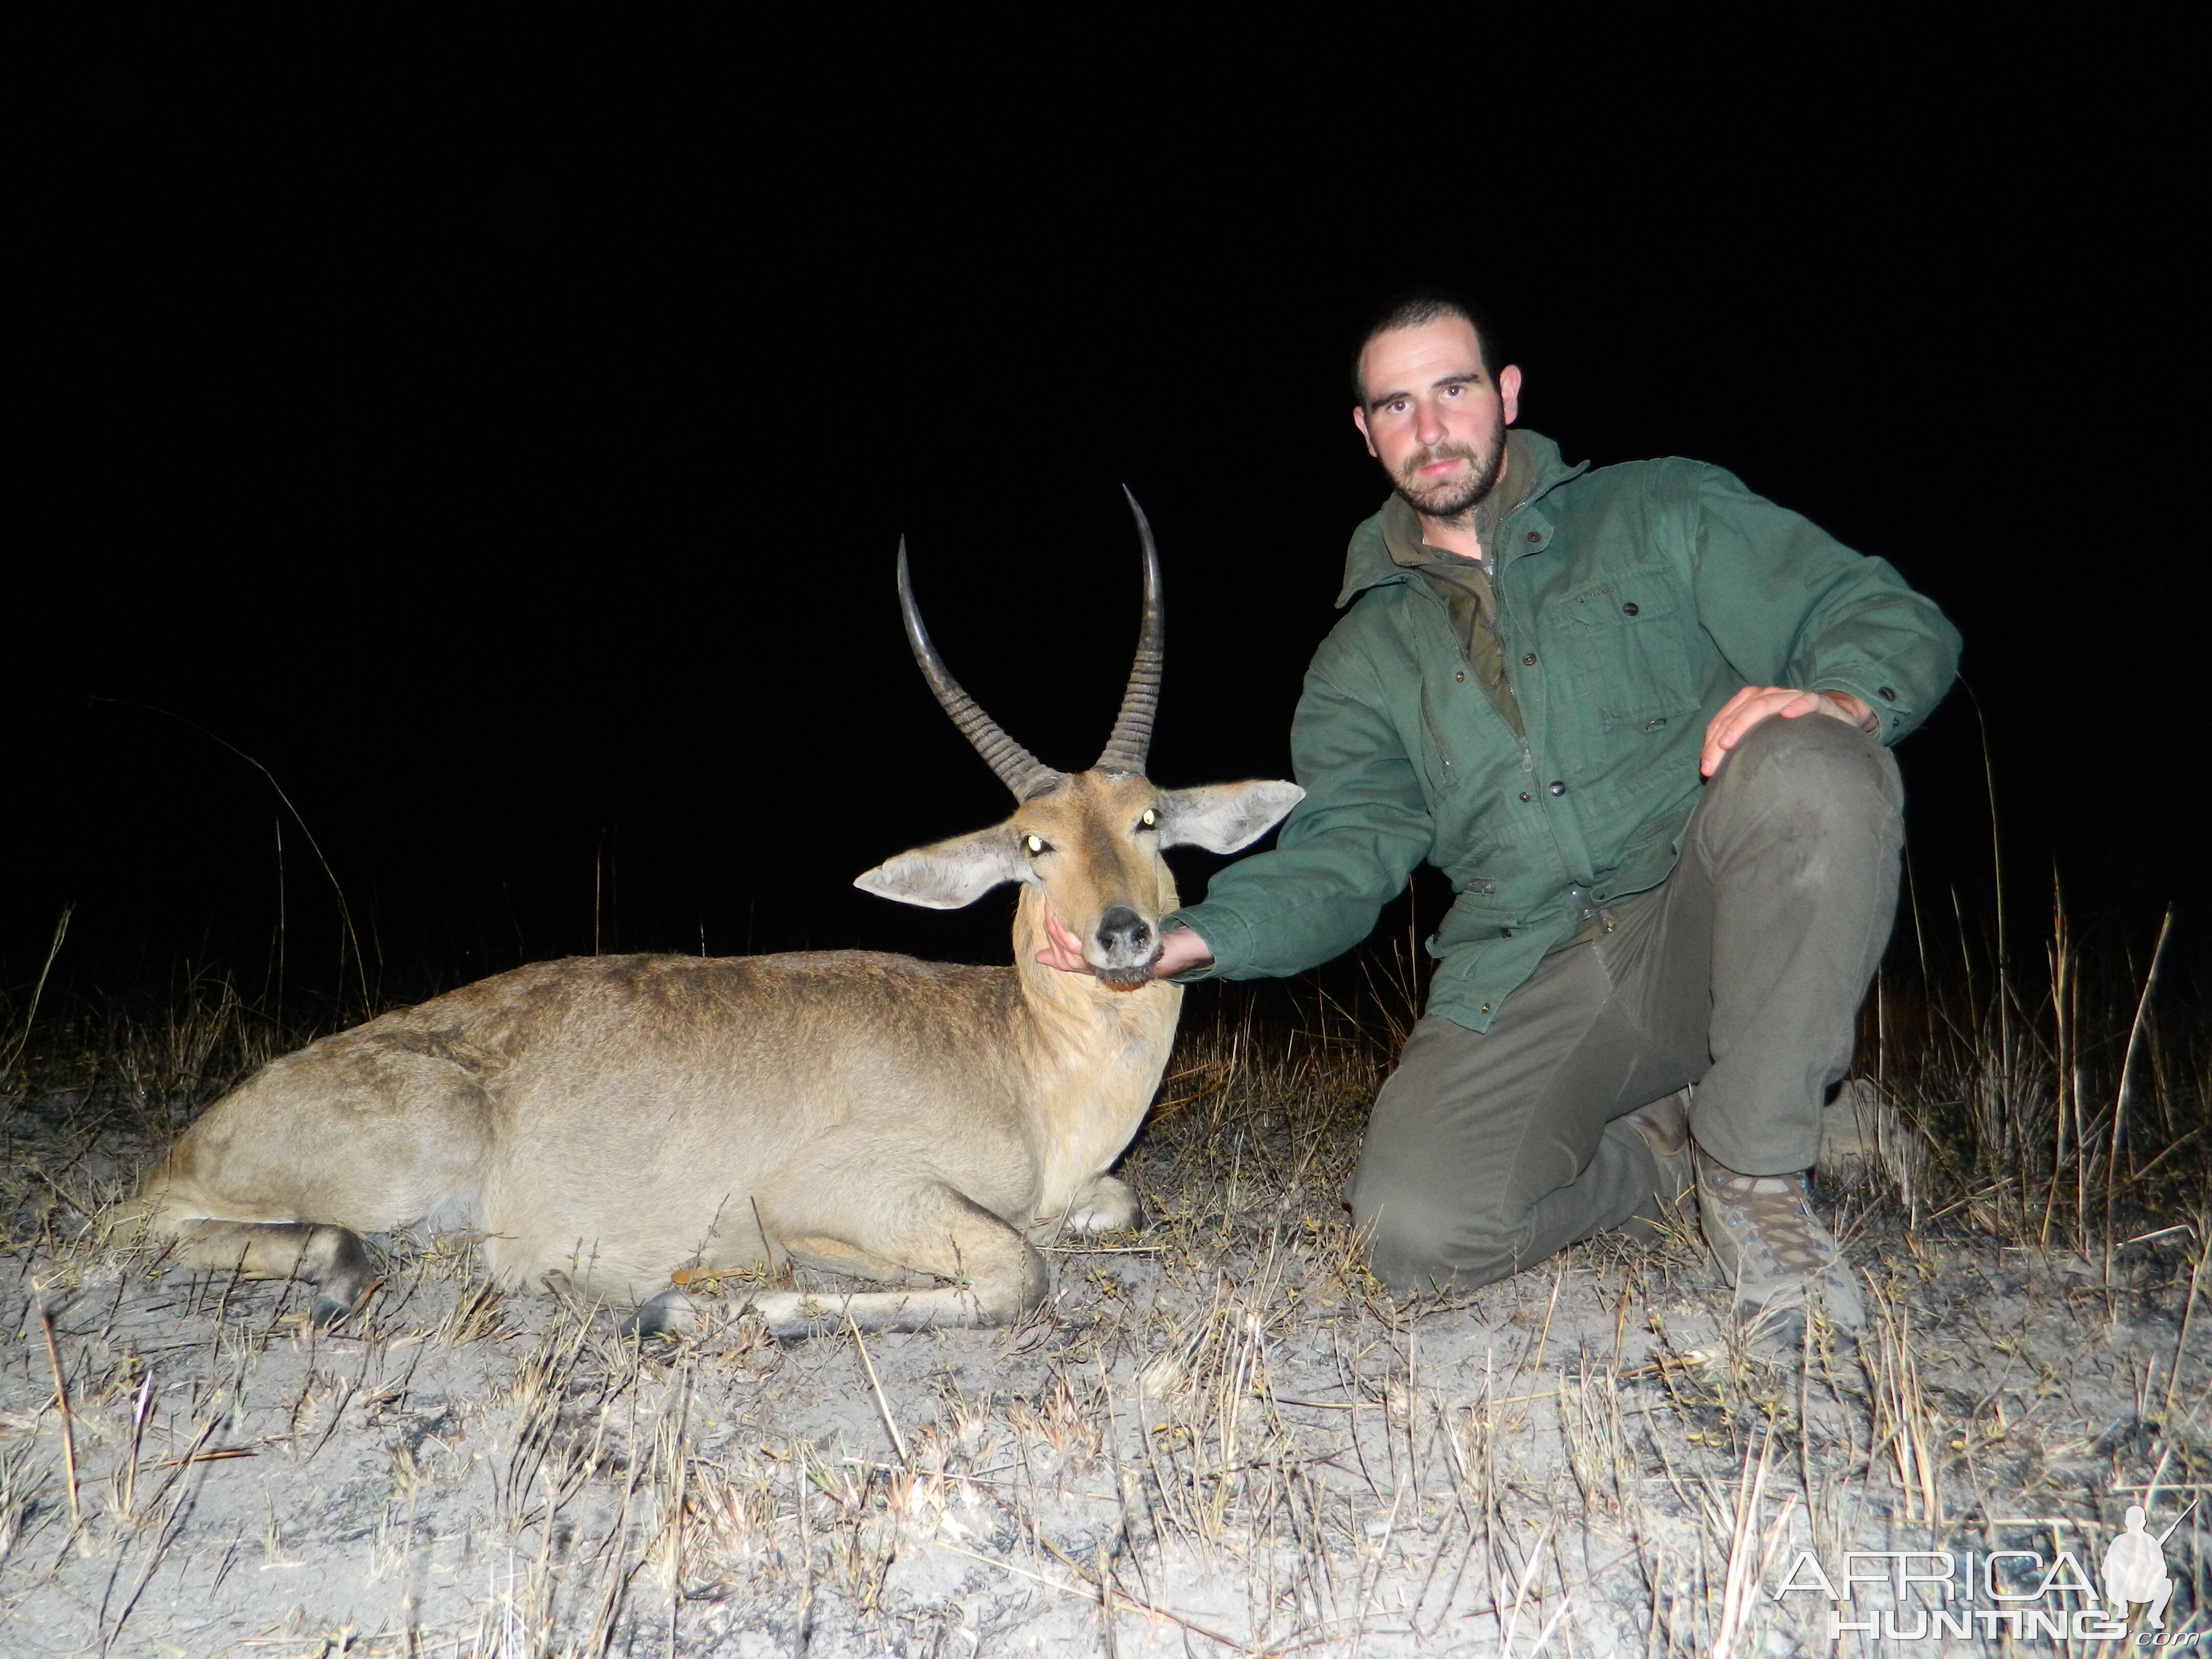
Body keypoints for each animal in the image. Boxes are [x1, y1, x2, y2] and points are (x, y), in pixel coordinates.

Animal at [142, 491, 1291, 1336]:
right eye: (1034, 846)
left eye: (1149, 819)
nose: (1124, 937)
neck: (1022, 1059)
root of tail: (205, 1131)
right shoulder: (832, 1192)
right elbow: (1020, 1270)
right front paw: (723, 1308)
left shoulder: (1085, 1186)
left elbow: (1109, 1206)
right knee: (145, 1227)